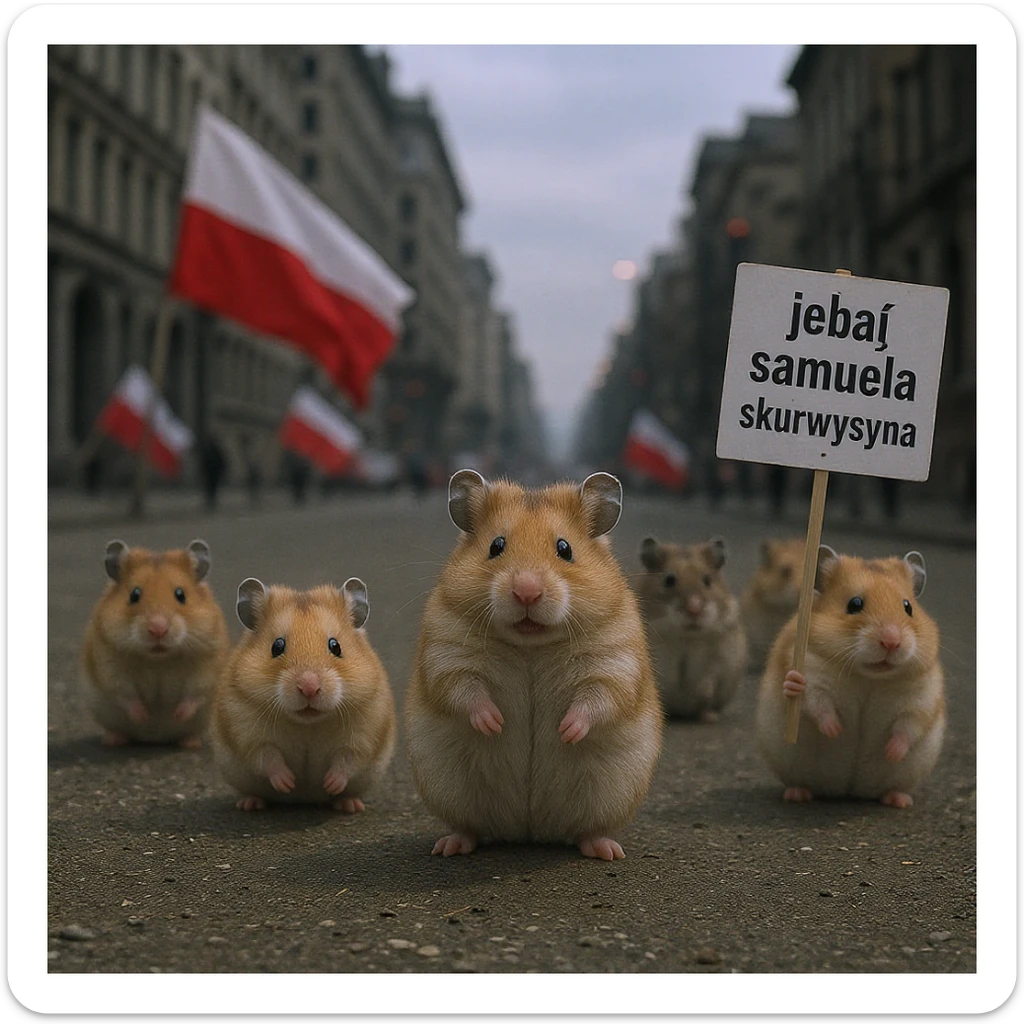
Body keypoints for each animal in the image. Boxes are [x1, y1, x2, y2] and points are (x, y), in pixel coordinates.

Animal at [81, 539, 229, 747]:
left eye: (180, 595)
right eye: (134, 595)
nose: (158, 628)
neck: (159, 659)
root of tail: (155, 739)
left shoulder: (208, 667)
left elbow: (194, 695)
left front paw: (176, 715)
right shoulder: (109, 665)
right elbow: (125, 695)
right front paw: (144, 716)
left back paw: (191, 742)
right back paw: (113, 740)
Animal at [212, 578, 396, 811]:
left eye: (335, 646)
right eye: (277, 646)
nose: (309, 687)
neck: (308, 723)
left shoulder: (365, 731)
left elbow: (347, 759)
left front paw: (329, 784)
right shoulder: (245, 729)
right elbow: (267, 757)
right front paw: (289, 783)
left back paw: (350, 805)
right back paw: (250, 804)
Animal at [405, 470, 663, 861]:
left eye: (565, 549)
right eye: (496, 546)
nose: (526, 591)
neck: (531, 645)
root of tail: (529, 832)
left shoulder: (615, 662)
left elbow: (596, 699)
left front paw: (565, 731)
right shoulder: (446, 655)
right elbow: (467, 692)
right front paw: (495, 724)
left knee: (586, 831)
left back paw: (607, 850)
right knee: (470, 828)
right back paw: (449, 847)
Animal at [635, 536, 748, 722]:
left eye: (707, 580)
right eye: (669, 580)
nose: (694, 610)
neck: (686, 636)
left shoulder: (720, 656)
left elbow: (707, 683)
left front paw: (707, 709)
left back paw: (709, 716)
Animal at [756, 545, 945, 808]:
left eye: (908, 607)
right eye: (854, 604)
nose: (892, 641)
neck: (869, 676)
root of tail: (849, 791)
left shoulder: (922, 695)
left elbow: (907, 728)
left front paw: (891, 753)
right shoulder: (814, 675)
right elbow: (819, 706)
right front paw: (836, 731)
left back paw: (900, 800)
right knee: (801, 784)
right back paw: (797, 795)